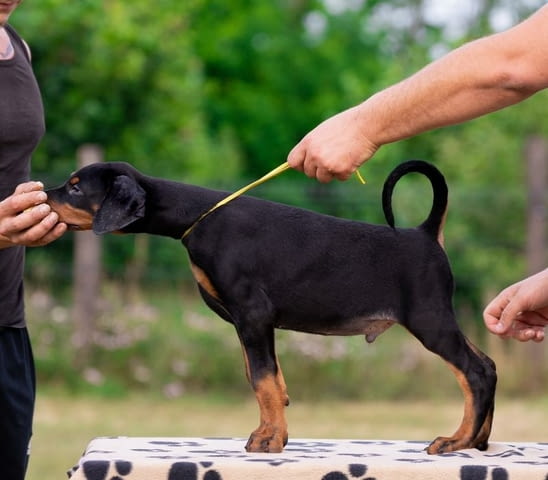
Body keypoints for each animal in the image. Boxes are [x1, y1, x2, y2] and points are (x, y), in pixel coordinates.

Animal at [46, 160, 496, 454]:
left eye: (74, 187)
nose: (40, 193)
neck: (198, 218)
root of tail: (425, 234)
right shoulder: (246, 323)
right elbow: (265, 379)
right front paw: (271, 434)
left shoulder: (253, 314)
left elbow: (263, 381)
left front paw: (267, 441)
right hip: (439, 318)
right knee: (488, 366)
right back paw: (478, 440)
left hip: (428, 318)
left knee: (473, 373)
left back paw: (456, 440)